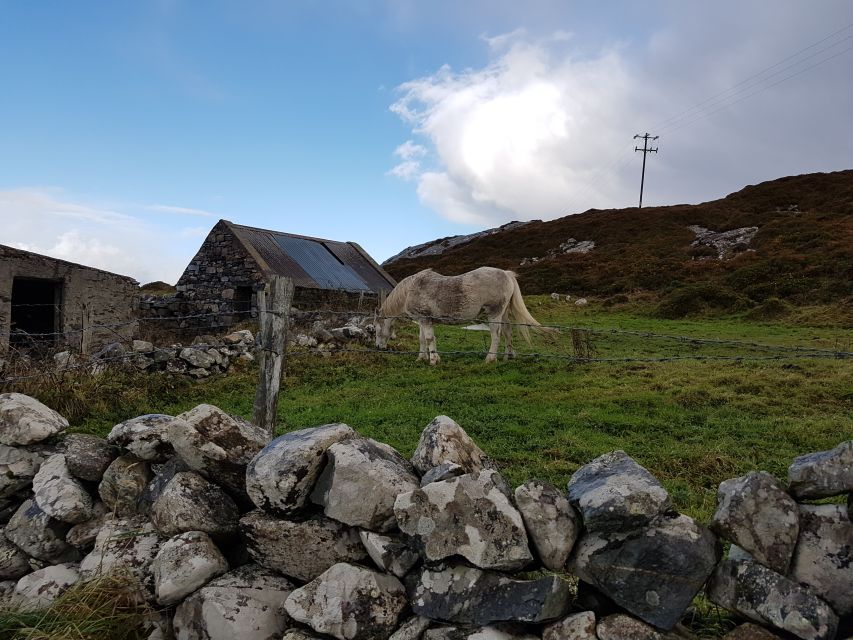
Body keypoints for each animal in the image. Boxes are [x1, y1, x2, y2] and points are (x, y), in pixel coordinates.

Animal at [372, 266, 544, 364]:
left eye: (375, 330)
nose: (378, 347)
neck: (409, 291)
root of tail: (507, 274)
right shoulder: (422, 320)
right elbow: (422, 339)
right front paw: (421, 358)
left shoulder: (425, 319)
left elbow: (429, 339)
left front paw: (433, 360)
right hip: (503, 313)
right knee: (508, 331)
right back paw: (508, 356)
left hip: (494, 313)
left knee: (496, 334)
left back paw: (490, 359)